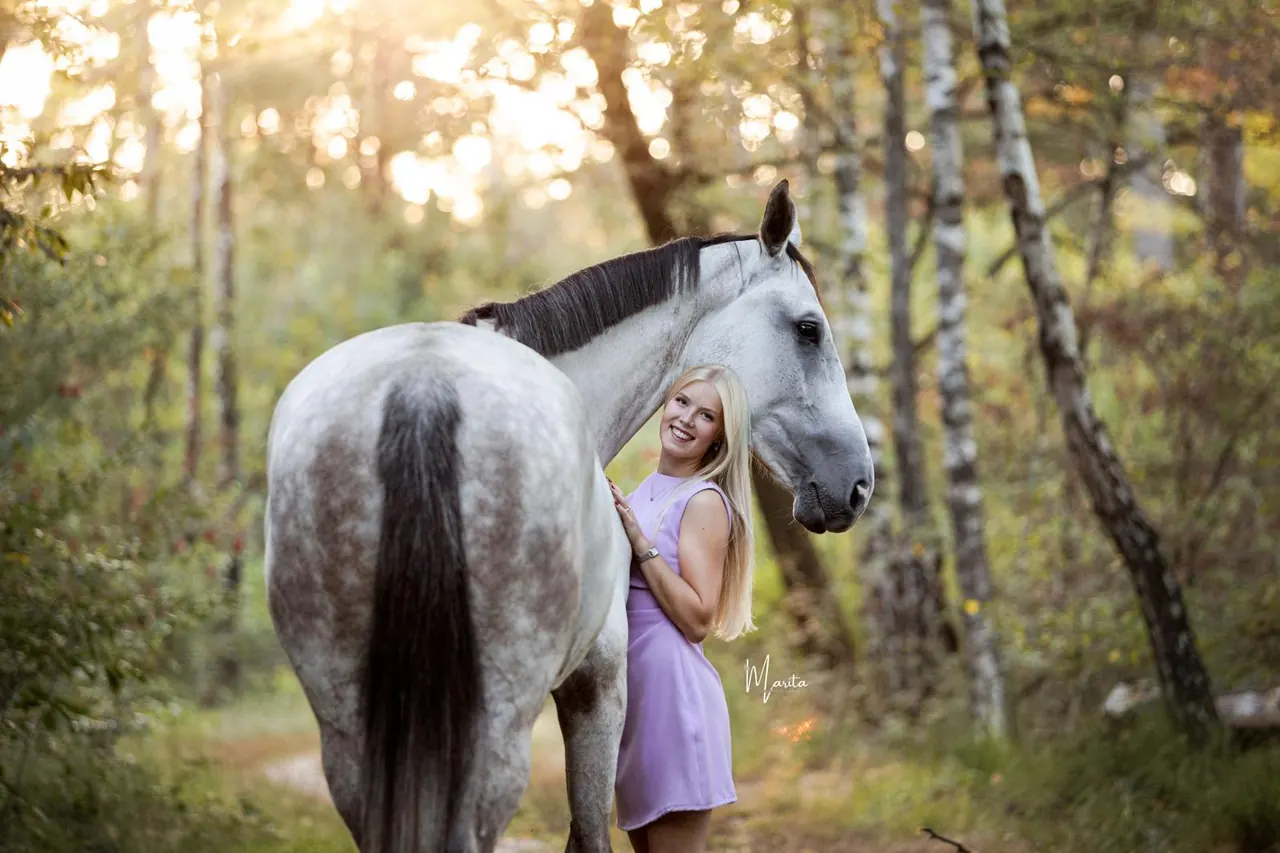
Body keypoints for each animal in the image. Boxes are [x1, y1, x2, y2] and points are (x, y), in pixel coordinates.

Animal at [263, 179, 874, 853]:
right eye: (808, 329)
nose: (858, 486)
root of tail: (423, 385)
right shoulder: (599, 685)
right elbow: (588, 833)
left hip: (348, 724)